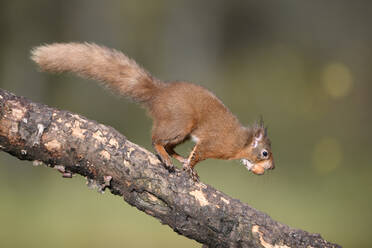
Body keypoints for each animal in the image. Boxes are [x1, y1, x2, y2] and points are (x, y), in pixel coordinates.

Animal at [31, 42, 274, 181]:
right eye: (265, 153)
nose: (271, 167)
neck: (240, 143)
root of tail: (159, 94)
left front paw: (188, 165)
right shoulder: (213, 144)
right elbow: (198, 154)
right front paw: (190, 167)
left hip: (183, 132)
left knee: (169, 146)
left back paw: (176, 158)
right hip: (180, 123)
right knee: (157, 140)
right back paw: (167, 158)